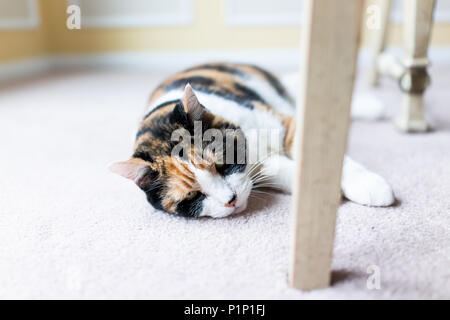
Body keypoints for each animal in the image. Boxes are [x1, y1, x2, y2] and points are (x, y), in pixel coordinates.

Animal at [110, 62, 396, 218]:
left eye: (222, 164)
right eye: (192, 196)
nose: (231, 200)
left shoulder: (285, 125)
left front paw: (368, 185)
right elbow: (284, 169)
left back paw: (372, 107)